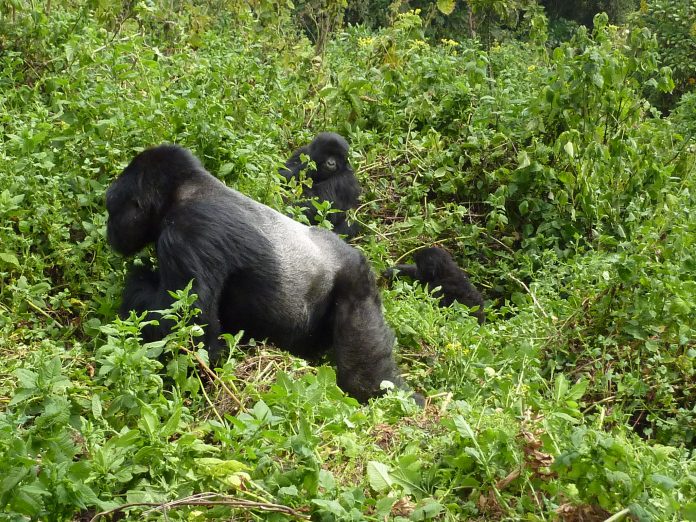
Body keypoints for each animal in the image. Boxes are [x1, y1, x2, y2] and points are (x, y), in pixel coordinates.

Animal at [104, 143, 418, 402]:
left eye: (112, 209)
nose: (110, 232)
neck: (183, 192)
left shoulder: (187, 234)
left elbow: (187, 329)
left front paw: (139, 279)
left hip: (355, 281)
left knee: (362, 369)